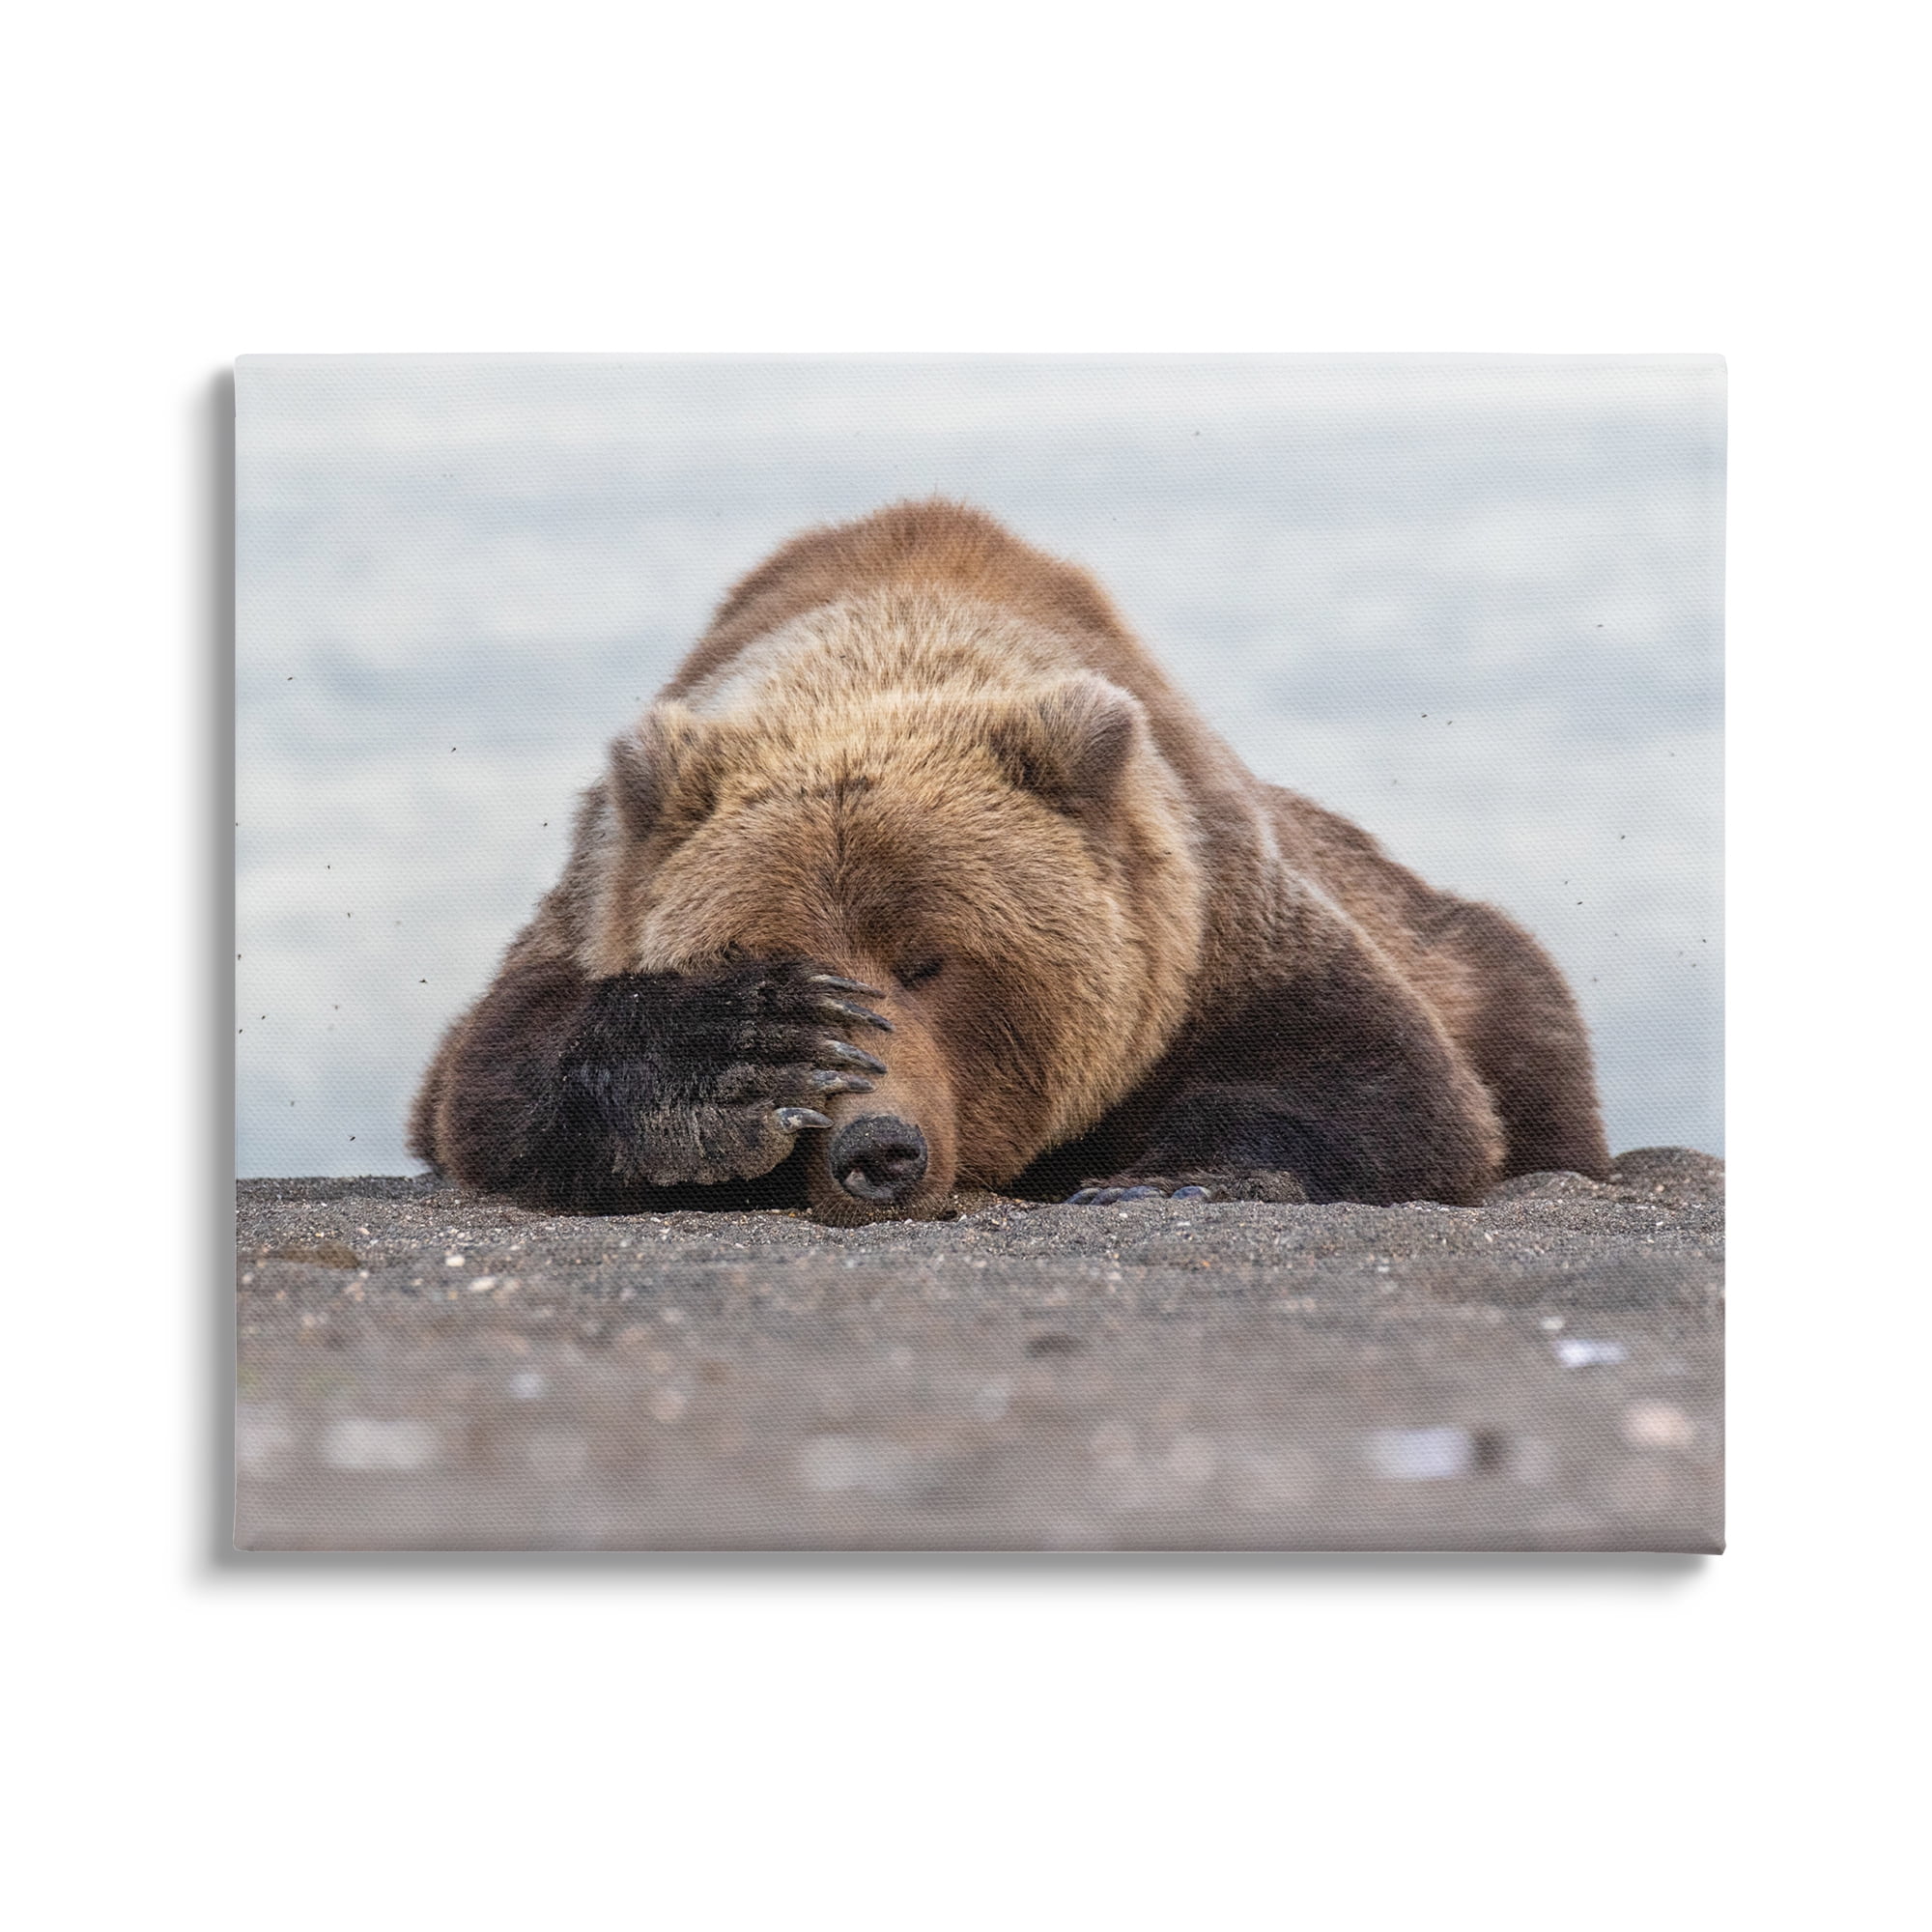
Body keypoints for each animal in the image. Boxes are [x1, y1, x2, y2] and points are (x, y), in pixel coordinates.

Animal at [410, 499, 1609, 1222]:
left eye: (930, 960)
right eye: (772, 954)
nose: (874, 1150)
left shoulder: (1206, 923)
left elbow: (1380, 1077)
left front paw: (1170, 1179)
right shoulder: (596, 895)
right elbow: (491, 1071)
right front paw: (736, 1056)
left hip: (1464, 953)